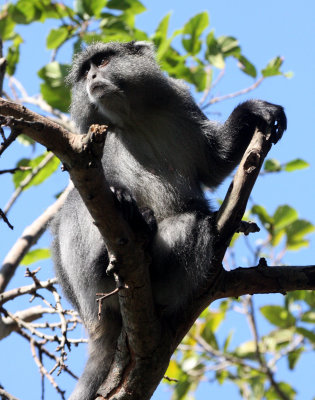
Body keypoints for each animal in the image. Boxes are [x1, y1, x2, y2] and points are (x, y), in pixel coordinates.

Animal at [50, 41, 288, 400]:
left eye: (102, 61)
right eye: (85, 71)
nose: (92, 77)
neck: (132, 116)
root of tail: (92, 316)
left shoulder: (179, 100)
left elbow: (214, 163)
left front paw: (252, 111)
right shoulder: (87, 141)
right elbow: (85, 177)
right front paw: (121, 198)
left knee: (193, 223)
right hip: (88, 279)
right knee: (78, 200)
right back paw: (126, 232)